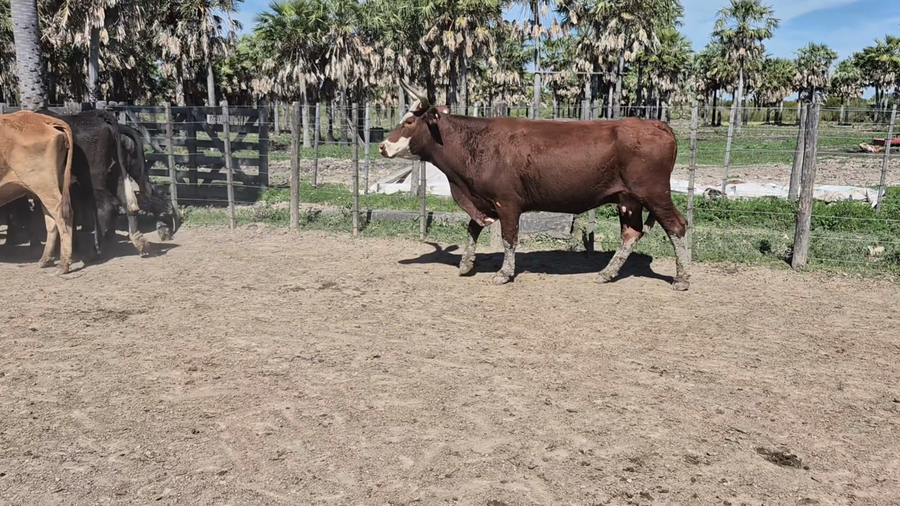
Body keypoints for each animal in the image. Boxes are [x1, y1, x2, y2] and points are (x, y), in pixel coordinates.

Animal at [0, 110, 75, 274]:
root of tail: (40, 118)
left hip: (43, 184)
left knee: (61, 215)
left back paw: (63, 264)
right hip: (49, 185)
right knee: (51, 220)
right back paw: (44, 260)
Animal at [378, 81, 691, 291]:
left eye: (409, 121)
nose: (382, 146)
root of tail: (657, 125)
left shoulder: (507, 202)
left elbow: (509, 238)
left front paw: (504, 273)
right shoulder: (480, 199)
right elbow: (472, 227)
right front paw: (466, 264)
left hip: (654, 193)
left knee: (677, 226)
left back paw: (682, 278)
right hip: (629, 199)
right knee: (631, 233)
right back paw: (607, 273)